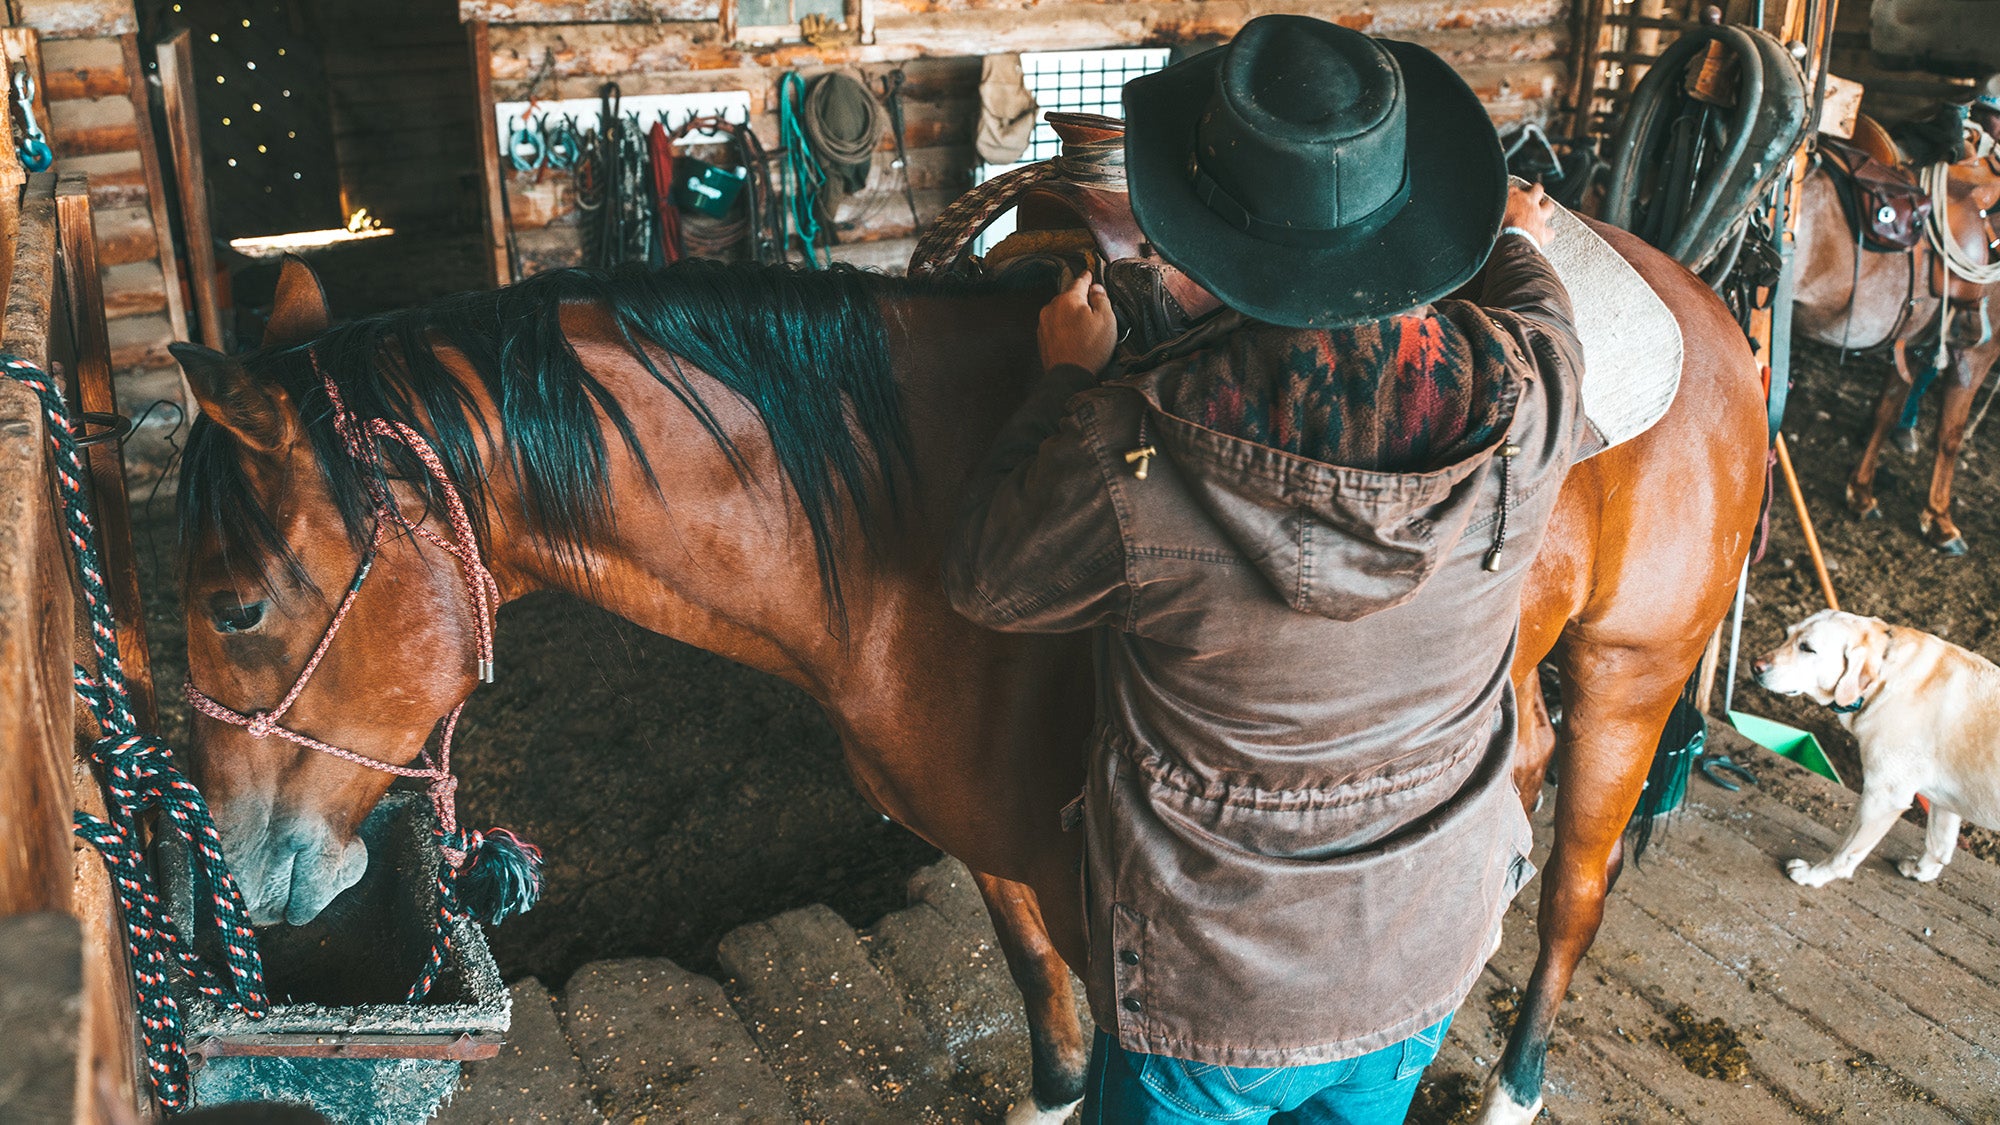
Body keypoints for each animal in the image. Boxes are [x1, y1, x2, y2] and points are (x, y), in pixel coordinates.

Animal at [1752, 612, 2000, 884]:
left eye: (1807, 648)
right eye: (1786, 635)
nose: (1755, 666)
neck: (1885, 671)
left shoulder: (1883, 797)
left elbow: (1845, 852)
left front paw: (1814, 875)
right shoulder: (1944, 799)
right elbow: (1939, 844)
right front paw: (1920, 871)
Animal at [1800, 122, 2000, 552]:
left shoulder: (1909, 340)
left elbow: (1887, 409)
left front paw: (1861, 492)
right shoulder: (1977, 353)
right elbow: (1950, 435)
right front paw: (1940, 519)